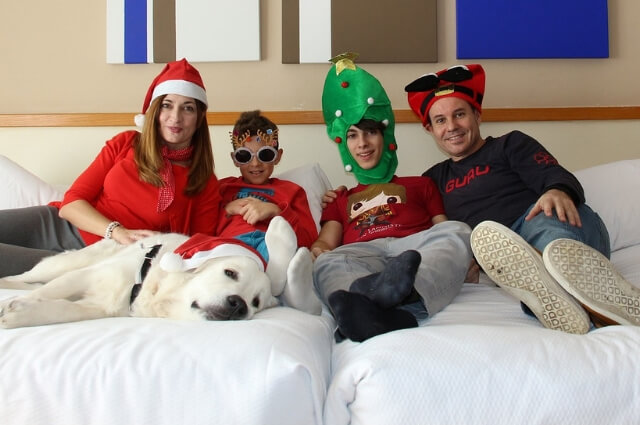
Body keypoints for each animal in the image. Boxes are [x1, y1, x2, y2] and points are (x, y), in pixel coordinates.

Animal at [0, 215, 320, 328]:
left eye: (255, 302)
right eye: (230, 273)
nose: (238, 305)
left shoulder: (104, 305)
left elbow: (63, 310)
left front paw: (23, 313)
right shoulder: (88, 276)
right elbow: (49, 293)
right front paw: (16, 306)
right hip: (64, 264)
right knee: (28, 278)